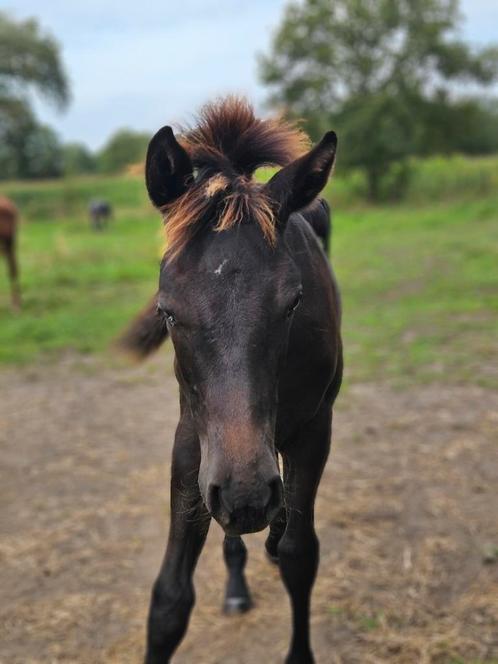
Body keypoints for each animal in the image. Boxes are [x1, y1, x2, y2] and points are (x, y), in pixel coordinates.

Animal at [120, 98, 342, 664]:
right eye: (167, 311)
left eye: (294, 302)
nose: (246, 495)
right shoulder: (193, 443)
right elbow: (170, 597)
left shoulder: (314, 430)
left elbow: (301, 557)